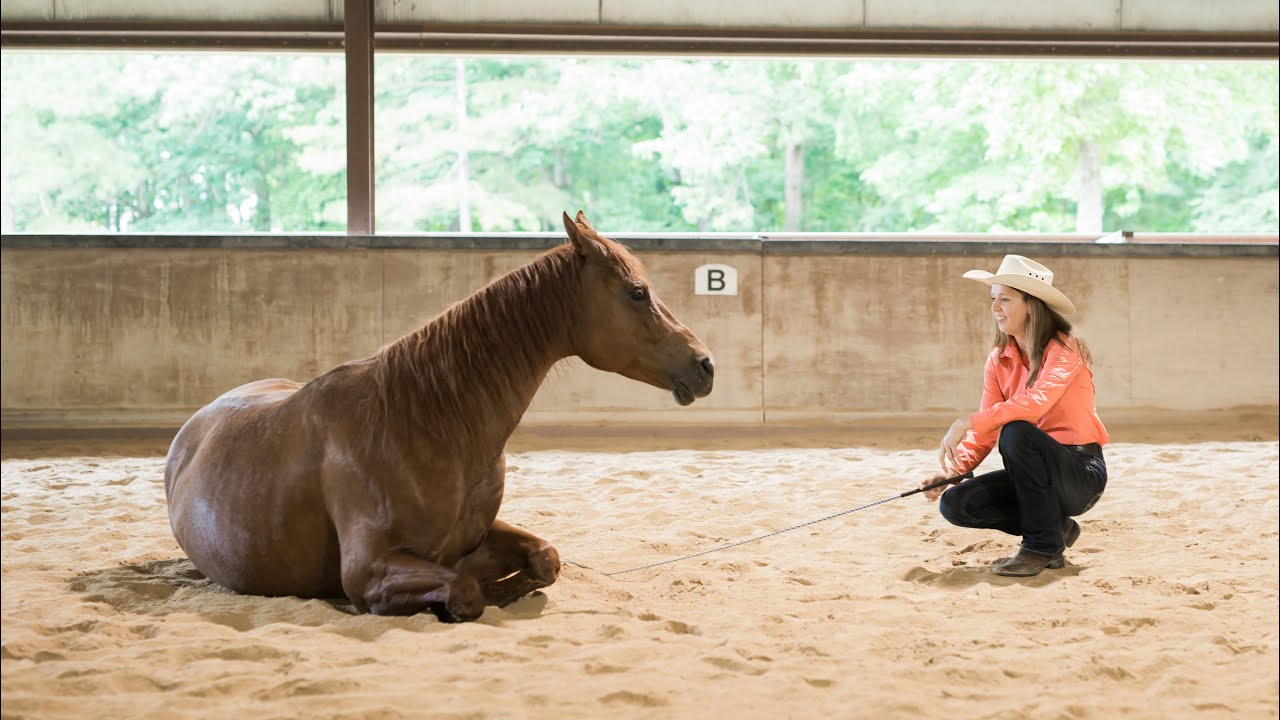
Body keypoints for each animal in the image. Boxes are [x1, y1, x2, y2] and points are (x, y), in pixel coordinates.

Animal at [163, 211, 714, 622]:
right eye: (637, 292)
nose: (705, 364)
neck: (423, 423)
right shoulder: (368, 570)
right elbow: (466, 591)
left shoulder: (476, 538)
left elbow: (545, 559)